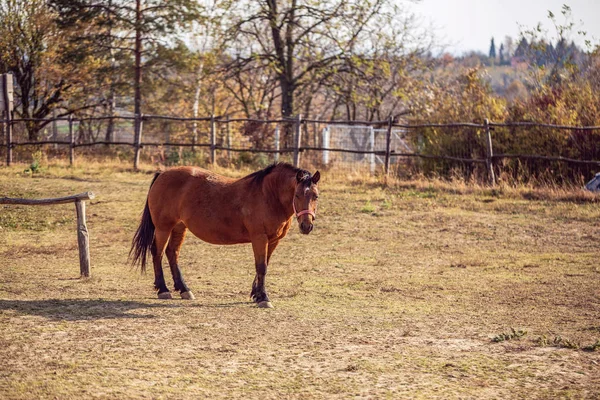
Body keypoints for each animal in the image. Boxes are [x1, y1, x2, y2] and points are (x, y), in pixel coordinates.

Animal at [129, 161, 322, 308]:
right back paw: (163, 289)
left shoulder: (273, 240)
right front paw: (263, 298)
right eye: (297, 195)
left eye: (316, 196)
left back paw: (184, 289)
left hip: (179, 226)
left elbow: (264, 265)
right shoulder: (259, 238)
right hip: (163, 227)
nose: (306, 226)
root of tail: (163, 173)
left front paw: (256, 294)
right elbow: (261, 267)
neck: (267, 195)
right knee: (158, 253)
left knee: (172, 253)